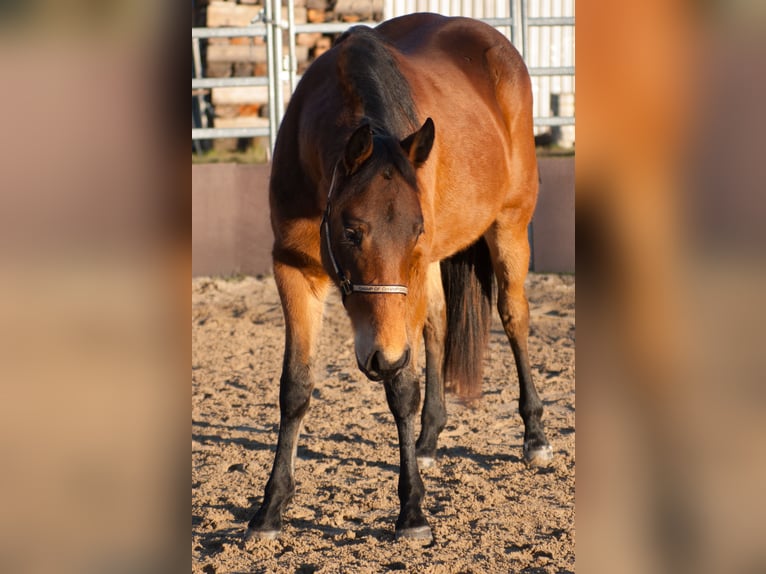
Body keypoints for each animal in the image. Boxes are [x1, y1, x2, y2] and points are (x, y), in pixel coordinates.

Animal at [246, 12, 552, 544]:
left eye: (416, 229)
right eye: (351, 231)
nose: (380, 356)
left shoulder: (405, 285)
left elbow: (401, 388)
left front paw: (411, 510)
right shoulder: (293, 270)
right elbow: (296, 388)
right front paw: (271, 509)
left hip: (509, 228)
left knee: (514, 318)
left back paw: (533, 435)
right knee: (436, 326)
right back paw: (428, 438)